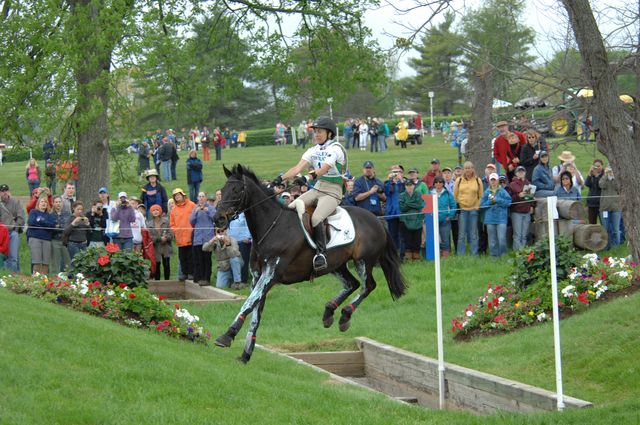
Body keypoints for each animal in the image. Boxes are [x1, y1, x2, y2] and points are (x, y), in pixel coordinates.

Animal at [212, 165, 408, 362]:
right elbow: (255, 310)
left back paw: (345, 315)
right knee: (352, 284)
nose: (217, 219)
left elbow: (249, 304)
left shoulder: (271, 274)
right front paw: (246, 352)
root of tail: (376, 219)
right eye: (223, 190)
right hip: (336, 265)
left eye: (236, 190)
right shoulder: (258, 277)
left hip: (363, 261)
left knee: (368, 286)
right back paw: (329, 313)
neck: (273, 227)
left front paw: (227, 336)